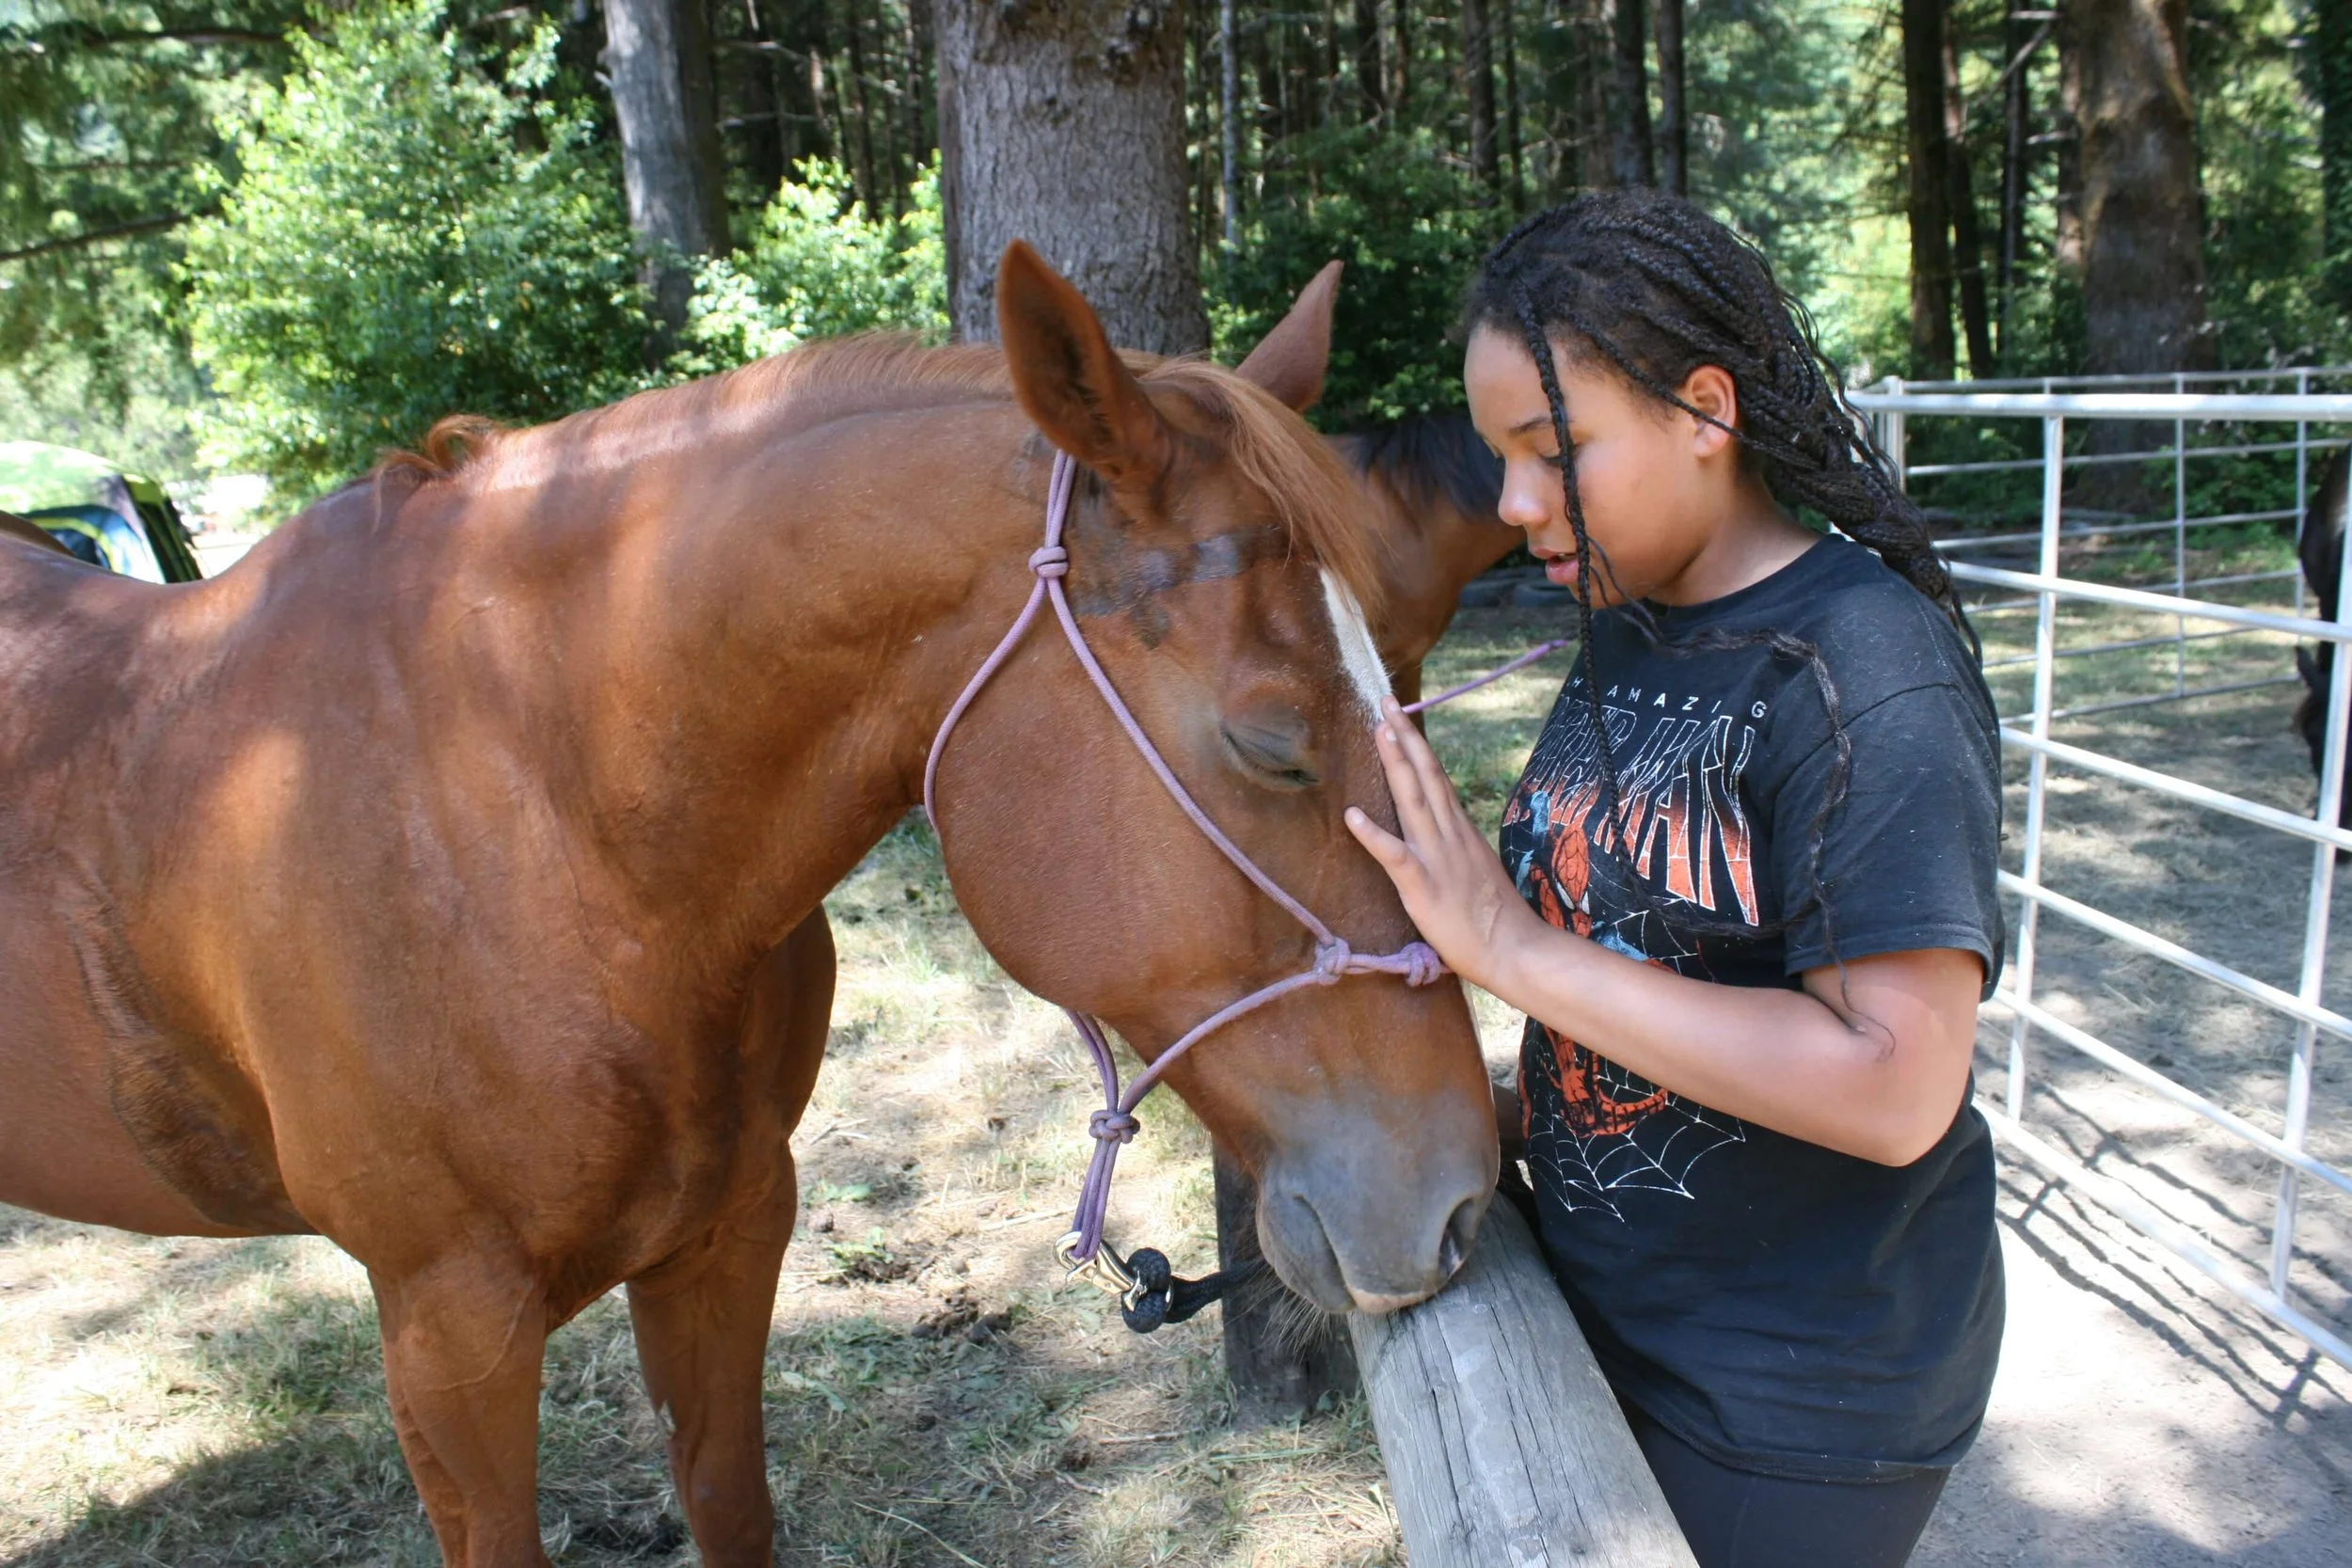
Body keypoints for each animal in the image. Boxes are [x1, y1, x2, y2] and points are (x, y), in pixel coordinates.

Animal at [0, 244, 1498, 1568]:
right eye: (1273, 745)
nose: (1462, 1201)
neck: (529, 819)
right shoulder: (447, 1328)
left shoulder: (728, 1228)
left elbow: (727, 1500)